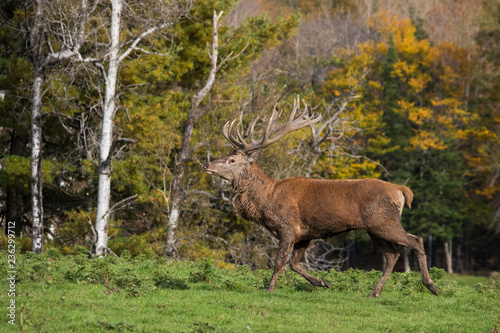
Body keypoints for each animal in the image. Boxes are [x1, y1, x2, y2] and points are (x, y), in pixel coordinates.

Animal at [203, 97, 438, 296]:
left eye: (232, 160)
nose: (206, 165)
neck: (266, 200)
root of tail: (400, 190)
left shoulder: (288, 226)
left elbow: (279, 262)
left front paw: (269, 289)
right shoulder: (305, 233)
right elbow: (294, 264)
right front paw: (323, 282)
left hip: (383, 221)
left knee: (415, 241)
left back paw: (431, 286)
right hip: (375, 228)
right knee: (392, 255)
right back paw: (374, 293)